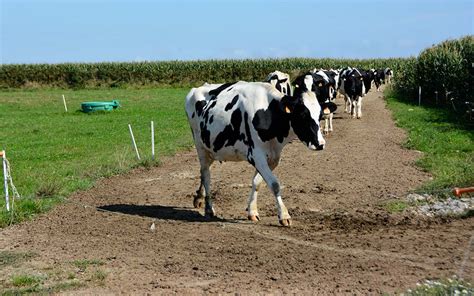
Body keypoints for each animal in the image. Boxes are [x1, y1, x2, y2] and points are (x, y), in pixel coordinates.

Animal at [185, 76, 326, 227]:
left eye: (320, 115)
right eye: (302, 115)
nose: (320, 144)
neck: (269, 113)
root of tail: (196, 88)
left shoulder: (273, 157)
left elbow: (257, 182)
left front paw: (252, 211)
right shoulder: (256, 155)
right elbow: (275, 184)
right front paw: (284, 215)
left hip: (210, 149)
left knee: (203, 172)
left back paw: (199, 198)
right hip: (200, 146)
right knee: (206, 175)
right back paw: (209, 208)